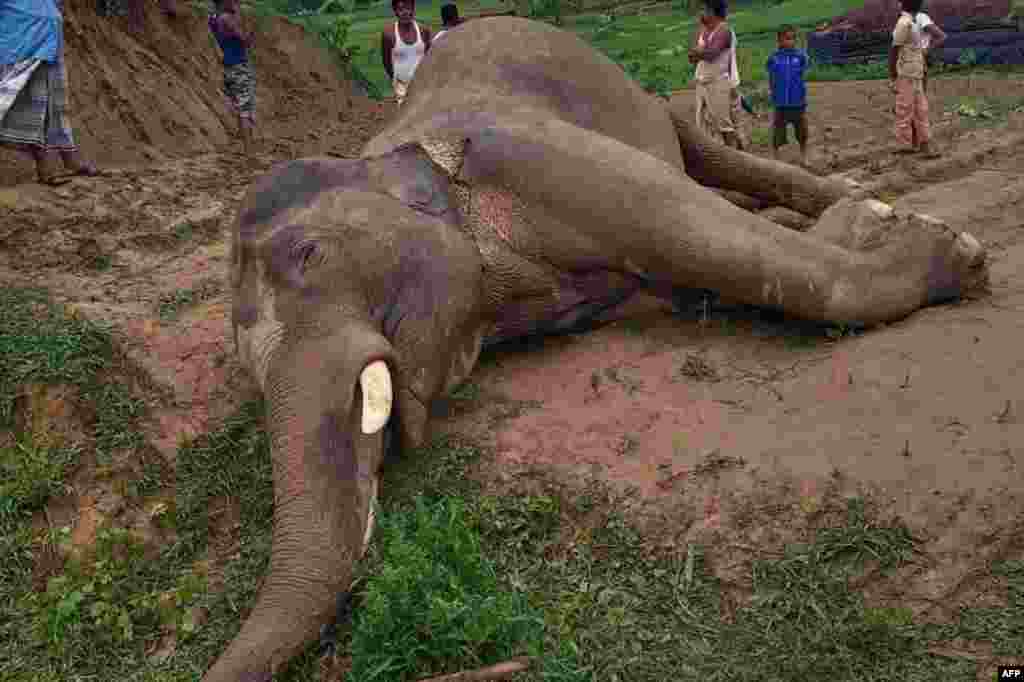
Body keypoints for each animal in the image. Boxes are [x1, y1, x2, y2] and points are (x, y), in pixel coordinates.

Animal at [207, 17, 987, 681]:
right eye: (248, 365)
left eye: (310, 254)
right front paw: (876, 230)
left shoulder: (524, 150)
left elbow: (702, 235)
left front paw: (944, 250)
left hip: (640, 94)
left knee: (704, 152)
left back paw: (850, 194)